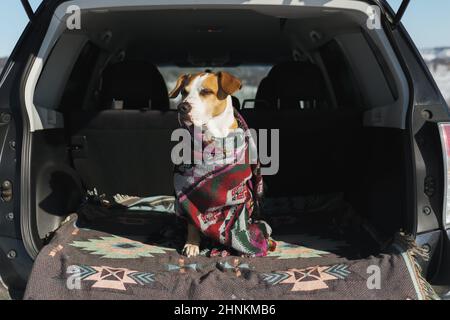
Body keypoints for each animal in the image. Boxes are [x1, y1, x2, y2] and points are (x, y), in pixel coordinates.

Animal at [168, 71, 243, 256]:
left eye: (206, 91)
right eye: (184, 92)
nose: (182, 107)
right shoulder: (189, 195)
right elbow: (193, 222)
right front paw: (192, 244)